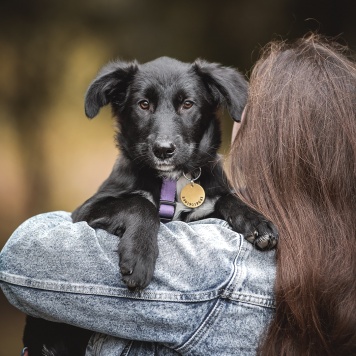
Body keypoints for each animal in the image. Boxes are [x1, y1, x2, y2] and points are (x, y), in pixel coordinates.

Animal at [23, 57, 278, 354]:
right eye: (143, 104)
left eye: (187, 104)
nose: (163, 150)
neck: (171, 181)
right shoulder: (84, 212)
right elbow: (139, 203)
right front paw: (140, 256)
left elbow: (227, 197)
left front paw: (256, 221)